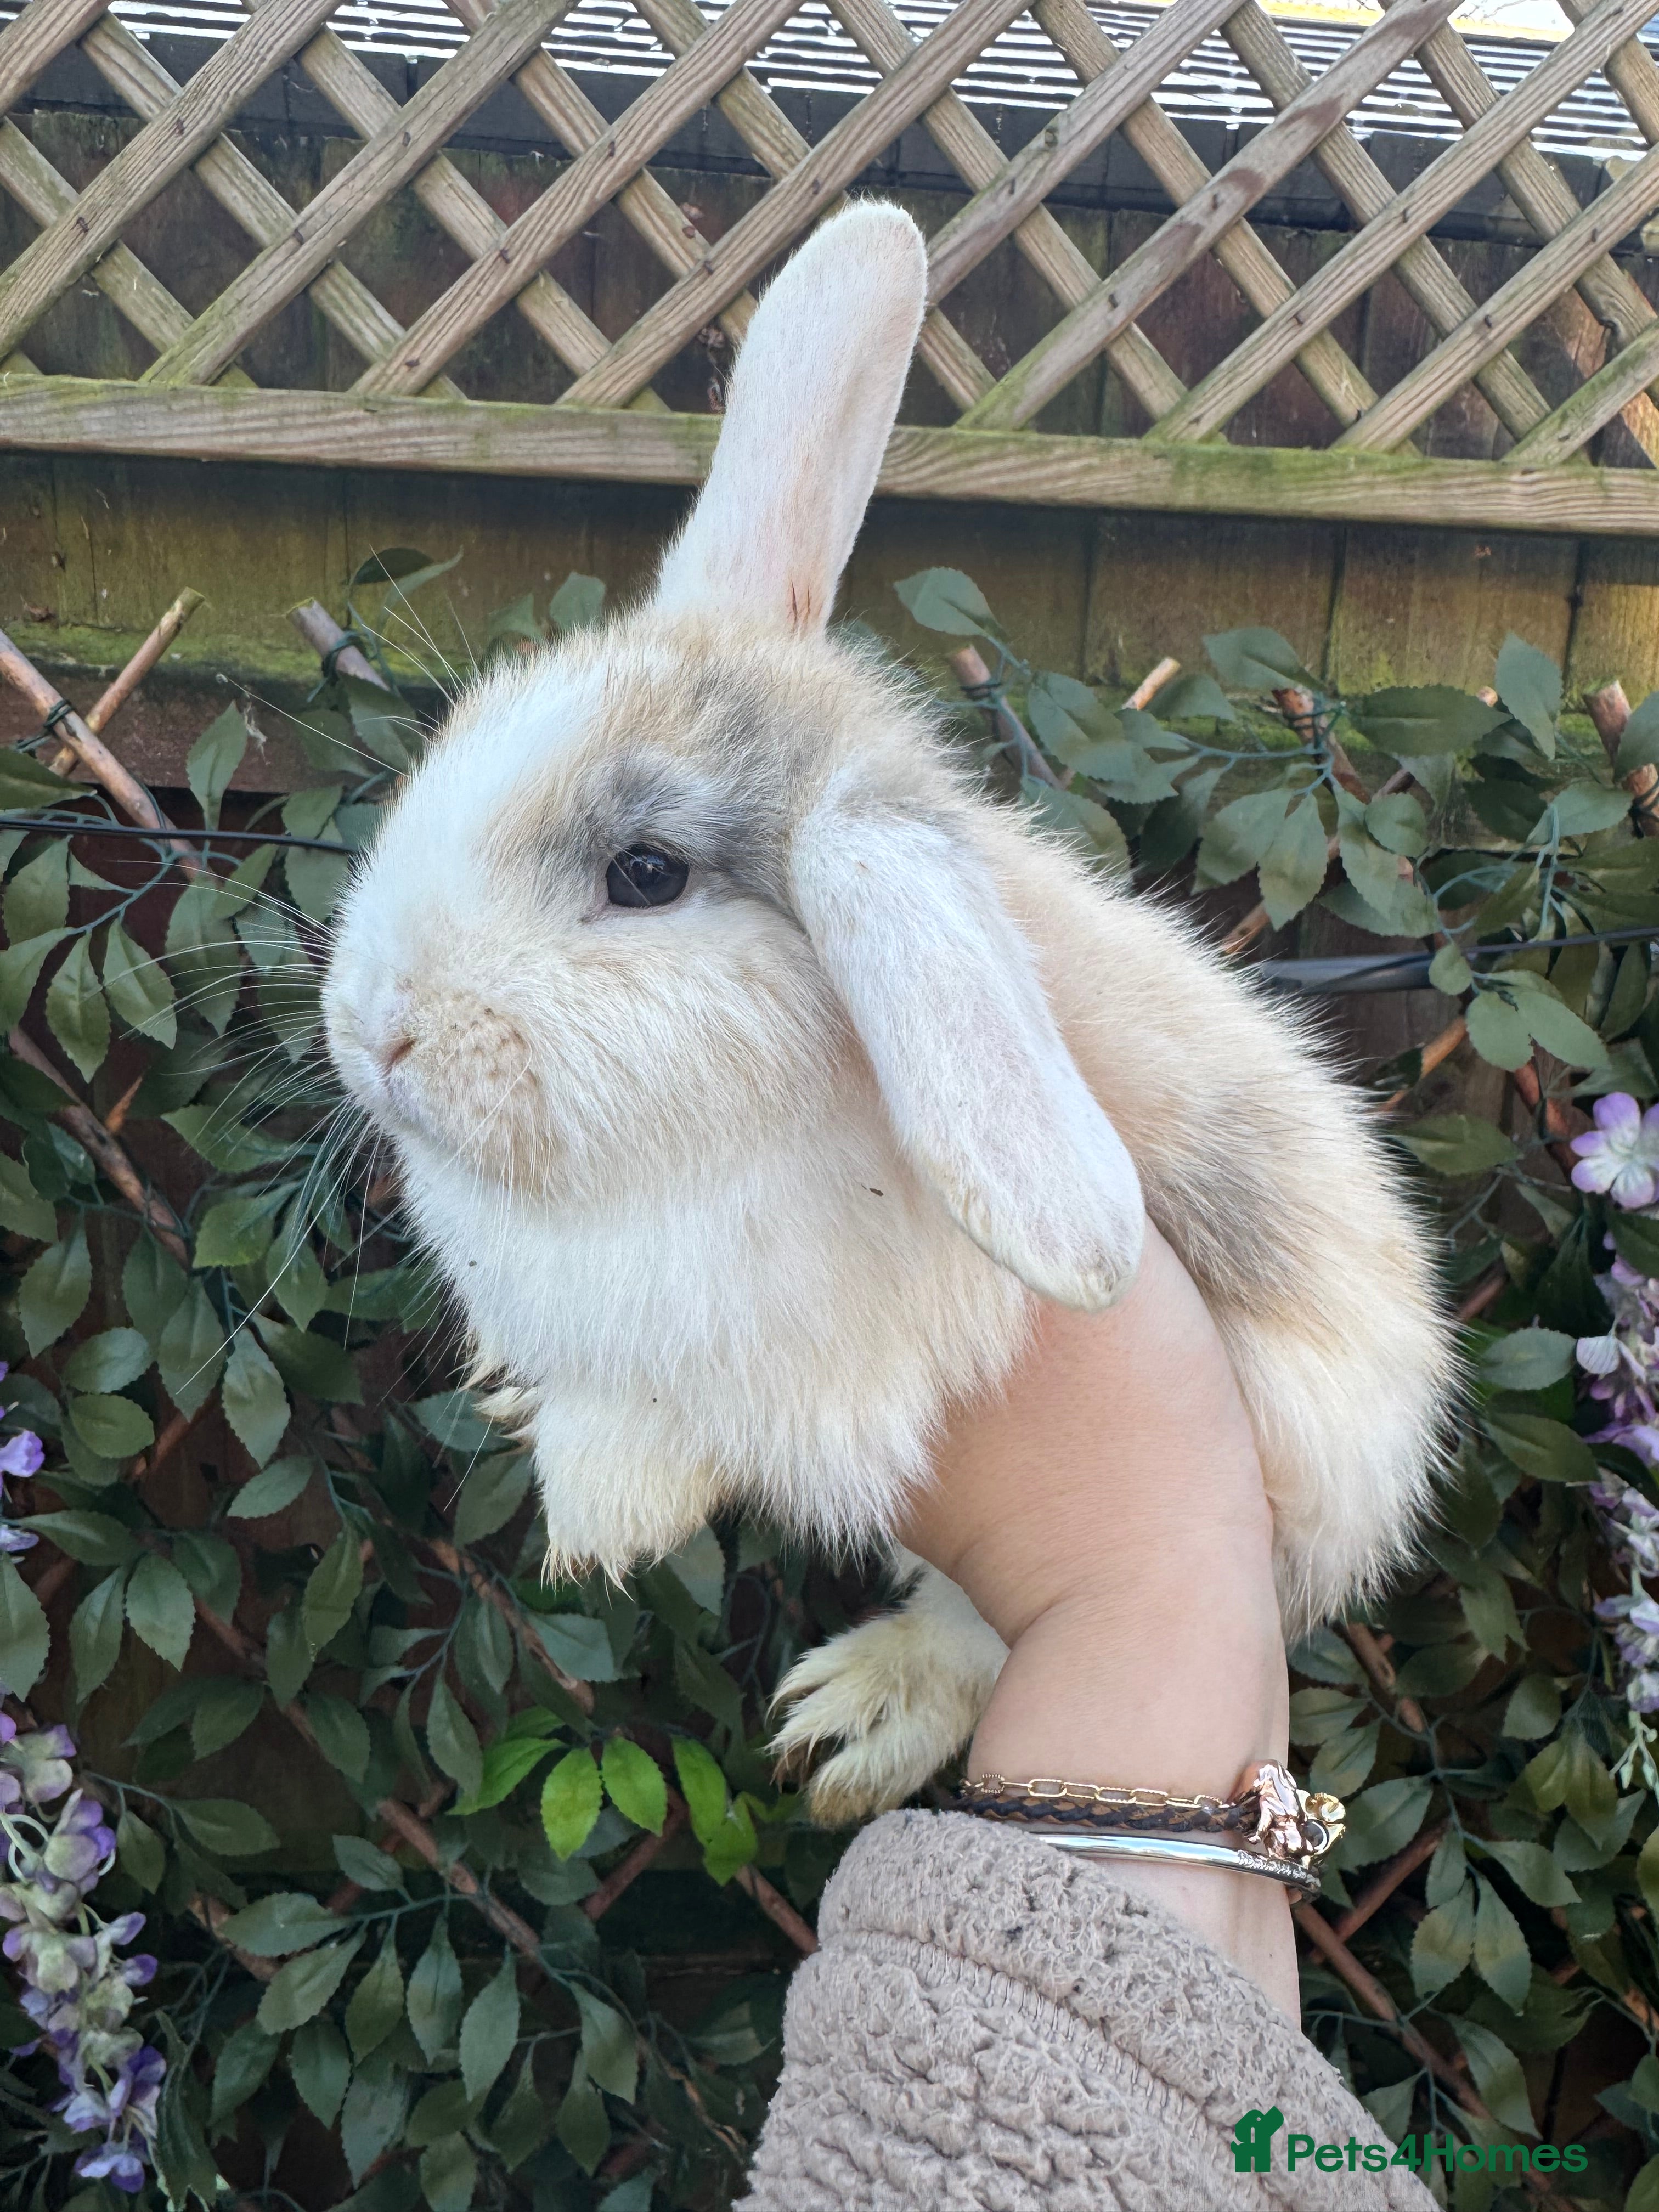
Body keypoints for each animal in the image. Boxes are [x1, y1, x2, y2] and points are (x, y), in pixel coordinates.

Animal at [322, 200, 1453, 1824]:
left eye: (647, 874)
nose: (375, 1033)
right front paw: (529, 1402)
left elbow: (664, 1426)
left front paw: (601, 1511)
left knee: (973, 1640)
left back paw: (853, 1719)